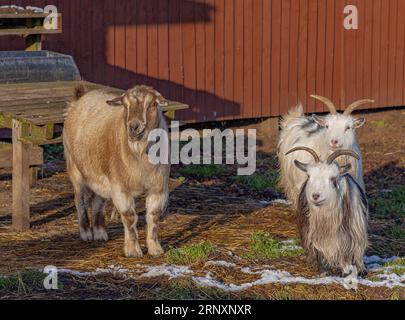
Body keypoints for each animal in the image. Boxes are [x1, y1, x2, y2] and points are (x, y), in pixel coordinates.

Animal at [63, 85, 170, 258]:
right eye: (125, 106)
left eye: (151, 105)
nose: (133, 127)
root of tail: (79, 100)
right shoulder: (120, 188)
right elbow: (129, 217)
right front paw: (133, 250)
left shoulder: (158, 188)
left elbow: (153, 217)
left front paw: (155, 249)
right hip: (74, 168)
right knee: (79, 200)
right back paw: (86, 233)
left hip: (99, 174)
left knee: (98, 202)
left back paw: (99, 233)